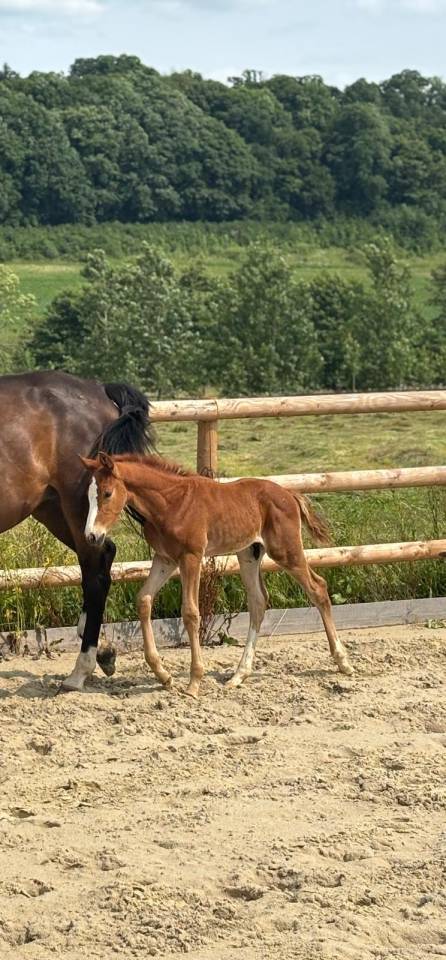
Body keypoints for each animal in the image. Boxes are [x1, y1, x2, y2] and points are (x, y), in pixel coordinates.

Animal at [0, 371, 154, 691]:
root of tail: (98, 388)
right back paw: (104, 652)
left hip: (76, 505)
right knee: (105, 555)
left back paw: (79, 671)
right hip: (53, 509)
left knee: (94, 576)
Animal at [80, 450, 354, 698]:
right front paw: (164, 676)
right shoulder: (165, 558)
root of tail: (290, 494)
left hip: (286, 551)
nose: (91, 536)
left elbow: (191, 613)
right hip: (249, 553)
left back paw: (343, 662)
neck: (171, 502)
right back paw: (239, 675)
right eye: (88, 496)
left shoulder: (191, 556)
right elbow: (144, 600)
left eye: (107, 493)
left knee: (318, 588)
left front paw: (193, 683)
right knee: (258, 601)